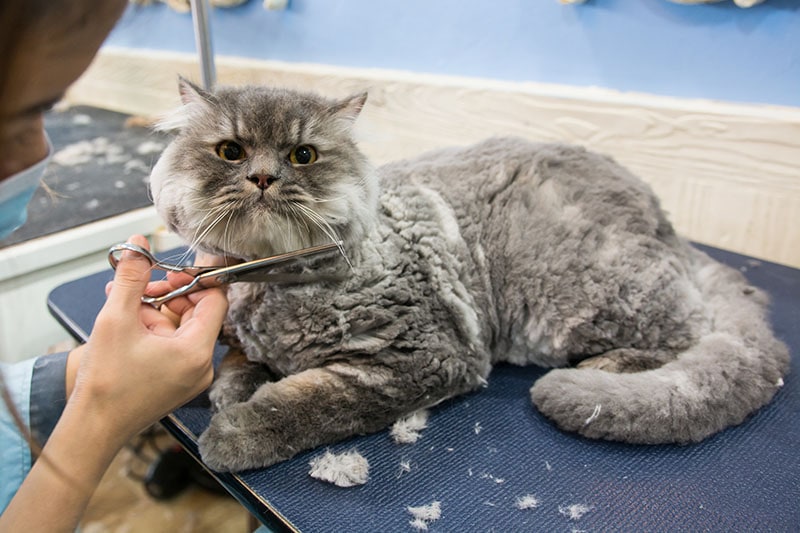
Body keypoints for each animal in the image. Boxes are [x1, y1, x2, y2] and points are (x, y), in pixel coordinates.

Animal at [148, 79, 788, 470]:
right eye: (230, 151)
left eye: (302, 156)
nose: (262, 178)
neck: (269, 283)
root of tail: (665, 221)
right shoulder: (243, 331)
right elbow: (238, 362)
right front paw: (234, 387)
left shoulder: (421, 359)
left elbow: (305, 404)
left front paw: (233, 432)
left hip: (582, 297)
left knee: (697, 334)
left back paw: (604, 369)